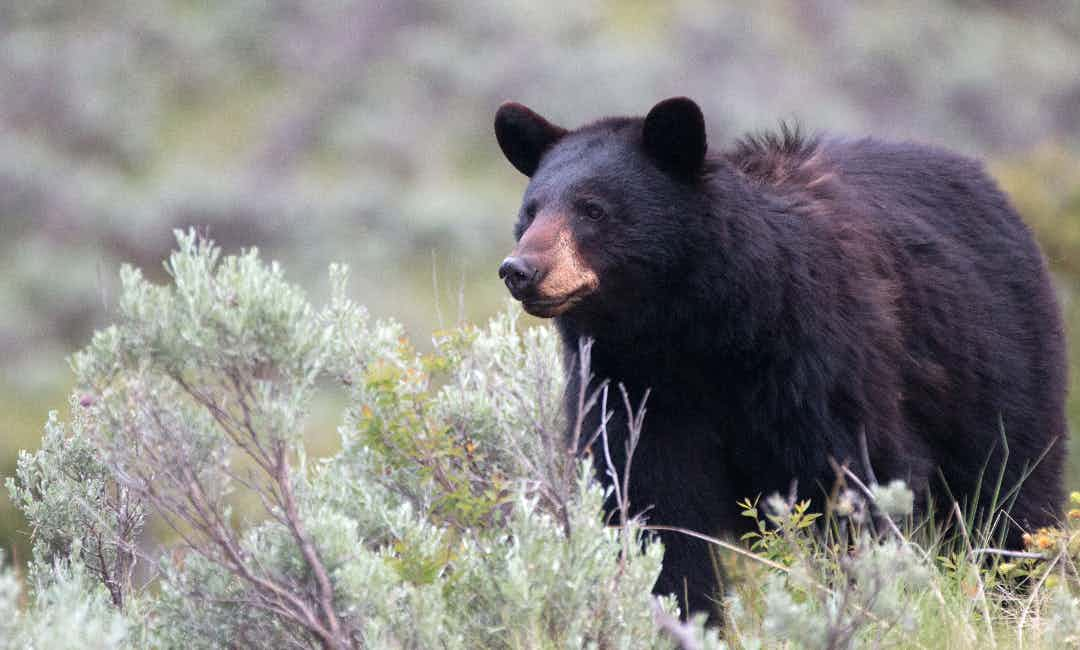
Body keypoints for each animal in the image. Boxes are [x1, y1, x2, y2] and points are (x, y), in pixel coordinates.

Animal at [494, 97, 1067, 617]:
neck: (696, 332)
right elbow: (652, 508)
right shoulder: (631, 387)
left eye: (593, 209)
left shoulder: (820, 358)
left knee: (1011, 493)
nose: (520, 270)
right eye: (530, 211)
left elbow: (853, 482)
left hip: (998, 363)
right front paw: (682, 613)